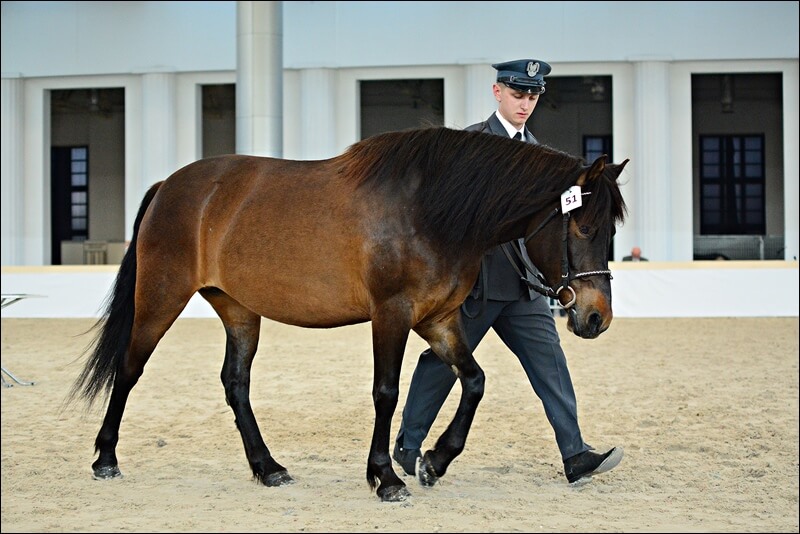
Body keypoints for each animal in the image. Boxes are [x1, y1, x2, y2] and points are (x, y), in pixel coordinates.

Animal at [69, 127, 628, 504]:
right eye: (582, 226)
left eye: (610, 229)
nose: (596, 317)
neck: (429, 210)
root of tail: (169, 185)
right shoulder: (392, 315)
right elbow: (387, 393)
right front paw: (386, 477)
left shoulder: (438, 319)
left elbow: (473, 381)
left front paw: (434, 460)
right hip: (161, 297)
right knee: (129, 369)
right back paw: (105, 459)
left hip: (239, 310)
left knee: (235, 384)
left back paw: (268, 468)